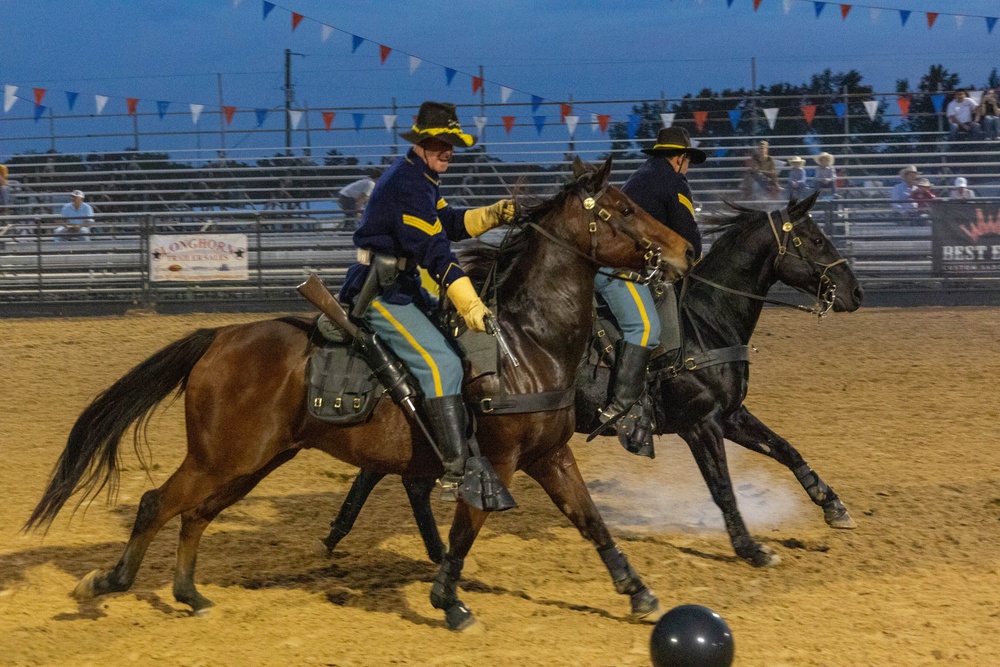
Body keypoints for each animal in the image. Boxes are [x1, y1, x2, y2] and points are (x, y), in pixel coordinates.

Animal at [25, 157, 696, 632]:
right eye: (624, 208)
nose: (684, 249)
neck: (526, 341)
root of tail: (220, 337)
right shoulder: (496, 464)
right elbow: (465, 530)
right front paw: (448, 601)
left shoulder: (551, 456)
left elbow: (591, 521)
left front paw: (637, 591)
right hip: (224, 457)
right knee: (155, 504)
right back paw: (109, 583)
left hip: (252, 461)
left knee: (193, 513)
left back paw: (190, 594)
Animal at [318, 189, 860, 568]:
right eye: (815, 239)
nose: (855, 293)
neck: (704, 321)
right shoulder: (701, 425)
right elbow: (723, 488)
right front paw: (751, 549)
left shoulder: (729, 415)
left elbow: (786, 449)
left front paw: (833, 506)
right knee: (394, 474)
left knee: (393, 474)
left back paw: (351, 535)